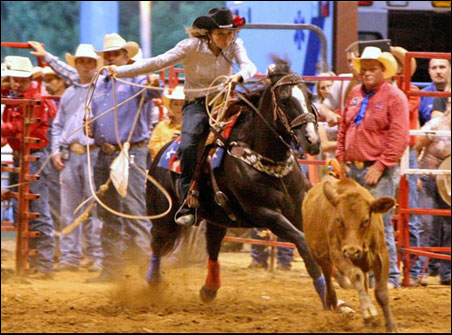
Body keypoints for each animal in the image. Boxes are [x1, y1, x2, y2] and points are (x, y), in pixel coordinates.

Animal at [147, 59, 326, 308]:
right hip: (164, 217)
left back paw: (209, 289)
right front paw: (330, 298)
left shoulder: (298, 207)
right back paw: (153, 284)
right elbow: (302, 241)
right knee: (156, 243)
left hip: (217, 218)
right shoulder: (264, 213)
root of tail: (160, 153)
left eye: (309, 96)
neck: (268, 160)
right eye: (284, 99)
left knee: (212, 247)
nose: (312, 140)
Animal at [304, 177, 396, 332]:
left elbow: (381, 292)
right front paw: (368, 310)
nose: (352, 251)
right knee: (328, 276)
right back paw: (332, 301)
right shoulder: (338, 254)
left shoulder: (381, 255)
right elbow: (356, 275)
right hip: (319, 256)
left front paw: (390, 325)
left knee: (364, 282)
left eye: (365, 220)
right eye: (339, 220)